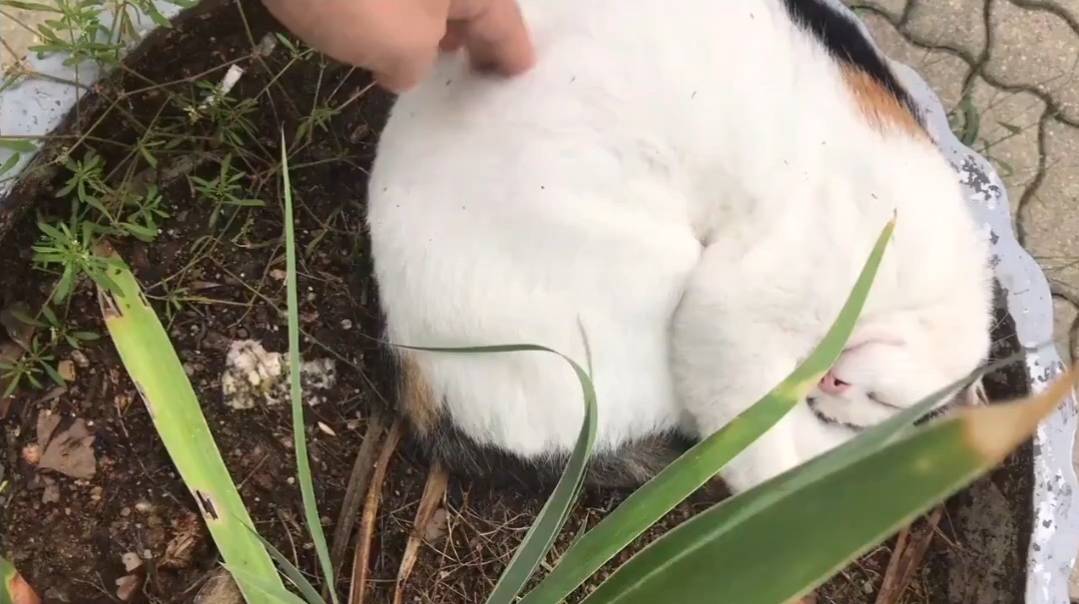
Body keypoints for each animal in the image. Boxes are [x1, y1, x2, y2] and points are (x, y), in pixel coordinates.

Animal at [364, 0, 992, 493]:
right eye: (883, 408)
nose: (834, 387)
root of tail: (414, 366)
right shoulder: (743, 303)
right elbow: (757, 447)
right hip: (653, 274)